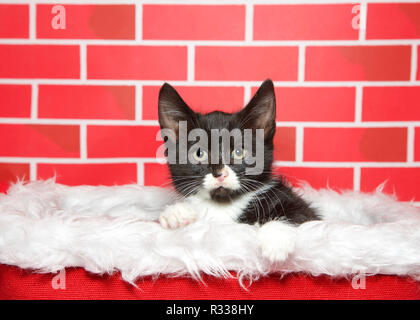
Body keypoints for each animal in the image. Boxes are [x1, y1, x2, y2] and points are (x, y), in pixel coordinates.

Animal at [158, 79, 318, 262]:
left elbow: (300, 213)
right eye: (199, 153)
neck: (223, 205)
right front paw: (177, 213)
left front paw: (276, 239)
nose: (220, 173)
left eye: (239, 152)